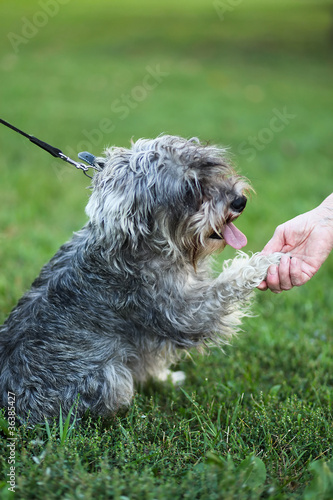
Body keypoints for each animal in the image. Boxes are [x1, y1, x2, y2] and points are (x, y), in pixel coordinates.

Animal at [0, 135, 278, 424]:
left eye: (211, 167)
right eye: (189, 189)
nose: (239, 201)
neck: (153, 244)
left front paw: (165, 379)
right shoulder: (183, 313)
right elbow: (225, 286)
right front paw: (263, 262)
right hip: (110, 378)